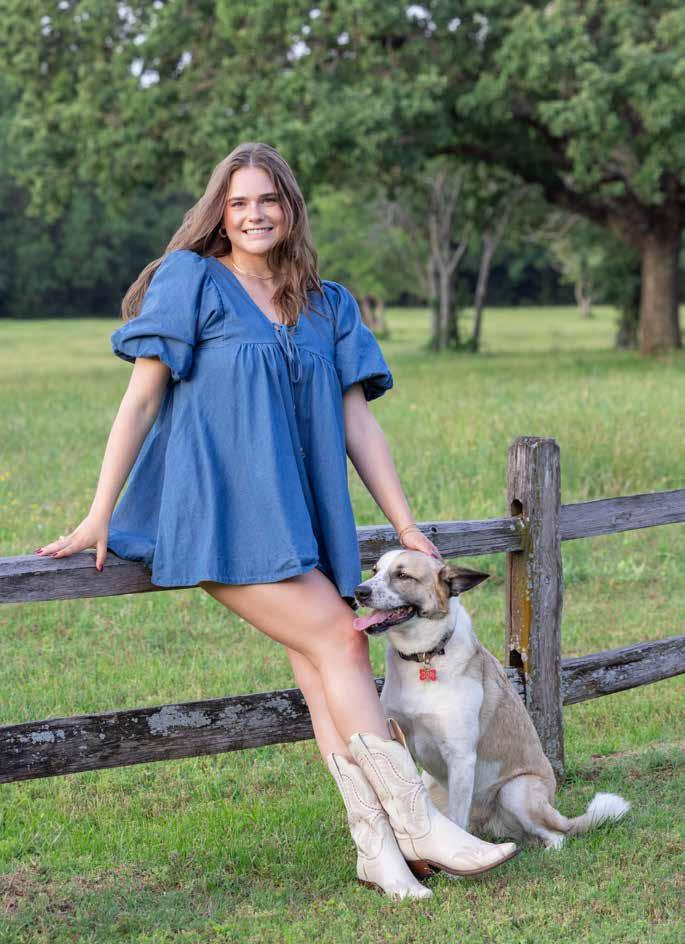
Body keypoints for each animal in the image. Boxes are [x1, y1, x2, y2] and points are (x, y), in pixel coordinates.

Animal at [352, 550, 630, 849]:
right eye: (374, 571)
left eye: (403, 575)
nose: (359, 592)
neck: (425, 658)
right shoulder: (399, 739)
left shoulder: (461, 757)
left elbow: (457, 822)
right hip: (434, 785)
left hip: (515, 790)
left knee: (556, 836)